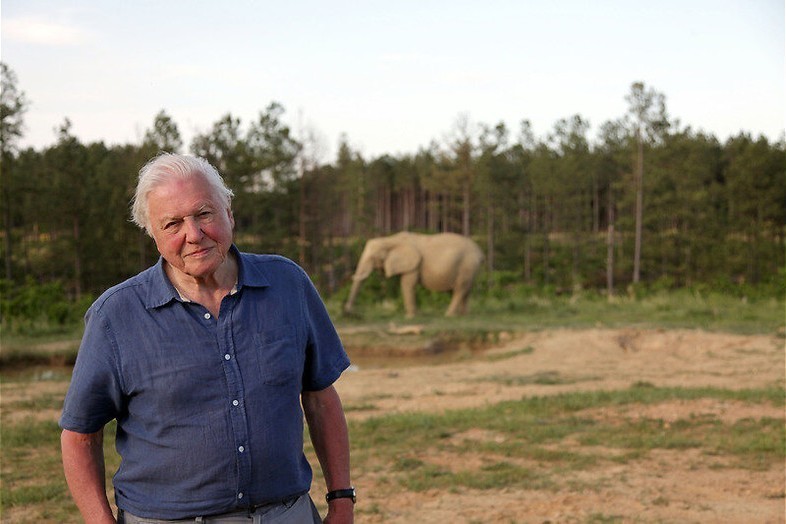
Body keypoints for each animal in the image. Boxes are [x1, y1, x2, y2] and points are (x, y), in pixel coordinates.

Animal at [344, 232, 484, 318]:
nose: (349, 311)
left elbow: (406, 284)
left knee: (460, 289)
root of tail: (480, 252)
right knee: (466, 290)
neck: (390, 239)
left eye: (373, 258)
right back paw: (463, 316)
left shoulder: (413, 265)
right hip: (469, 268)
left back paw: (448, 315)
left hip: (467, 265)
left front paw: (409, 317)